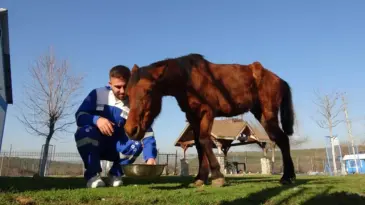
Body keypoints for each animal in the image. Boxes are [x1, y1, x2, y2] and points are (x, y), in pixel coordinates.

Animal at [123, 53, 294, 187]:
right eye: (128, 93)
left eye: (148, 91)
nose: (131, 129)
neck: (187, 79)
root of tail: (279, 79)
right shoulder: (192, 117)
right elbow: (199, 146)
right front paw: (201, 177)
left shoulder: (207, 113)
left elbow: (204, 140)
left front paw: (217, 176)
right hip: (262, 115)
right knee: (281, 139)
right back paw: (289, 176)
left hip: (269, 114)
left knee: (283, 139)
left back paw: (287, 177)